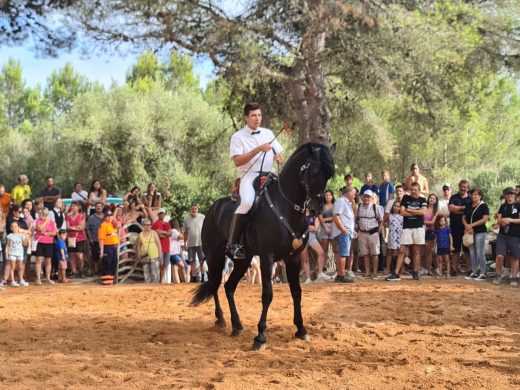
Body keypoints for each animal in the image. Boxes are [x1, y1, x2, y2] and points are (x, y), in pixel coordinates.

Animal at [193, 142, 336, 350]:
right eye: (313, 171)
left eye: (329, 174)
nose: (316, 209)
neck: (286, 207)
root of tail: (212, 209)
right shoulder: (267, 258)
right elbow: (267, 294)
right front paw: (260, 336)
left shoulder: (293, 258)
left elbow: (296, 292)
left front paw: (301, 329)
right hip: (214, 257)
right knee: (215, 283)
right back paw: (220, 319)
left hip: (242, 261)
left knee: (228, 287)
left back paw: (237, 325)